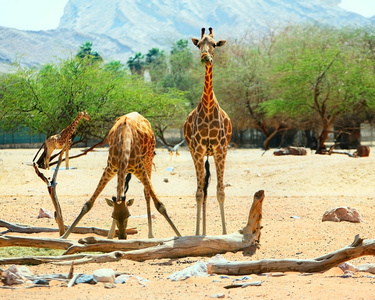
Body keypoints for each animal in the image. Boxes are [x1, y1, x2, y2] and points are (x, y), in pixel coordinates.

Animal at [61, 111, 181, 240]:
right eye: (112, 216)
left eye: (129, 215)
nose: (123, 237)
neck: (124, 142)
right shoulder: (109, 169)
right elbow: (88, 204)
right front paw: (63, 236)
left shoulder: (139, 169)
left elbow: (160, 205)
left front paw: (180, 235)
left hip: (148, 159)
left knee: (146, 193)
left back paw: (150, 234)